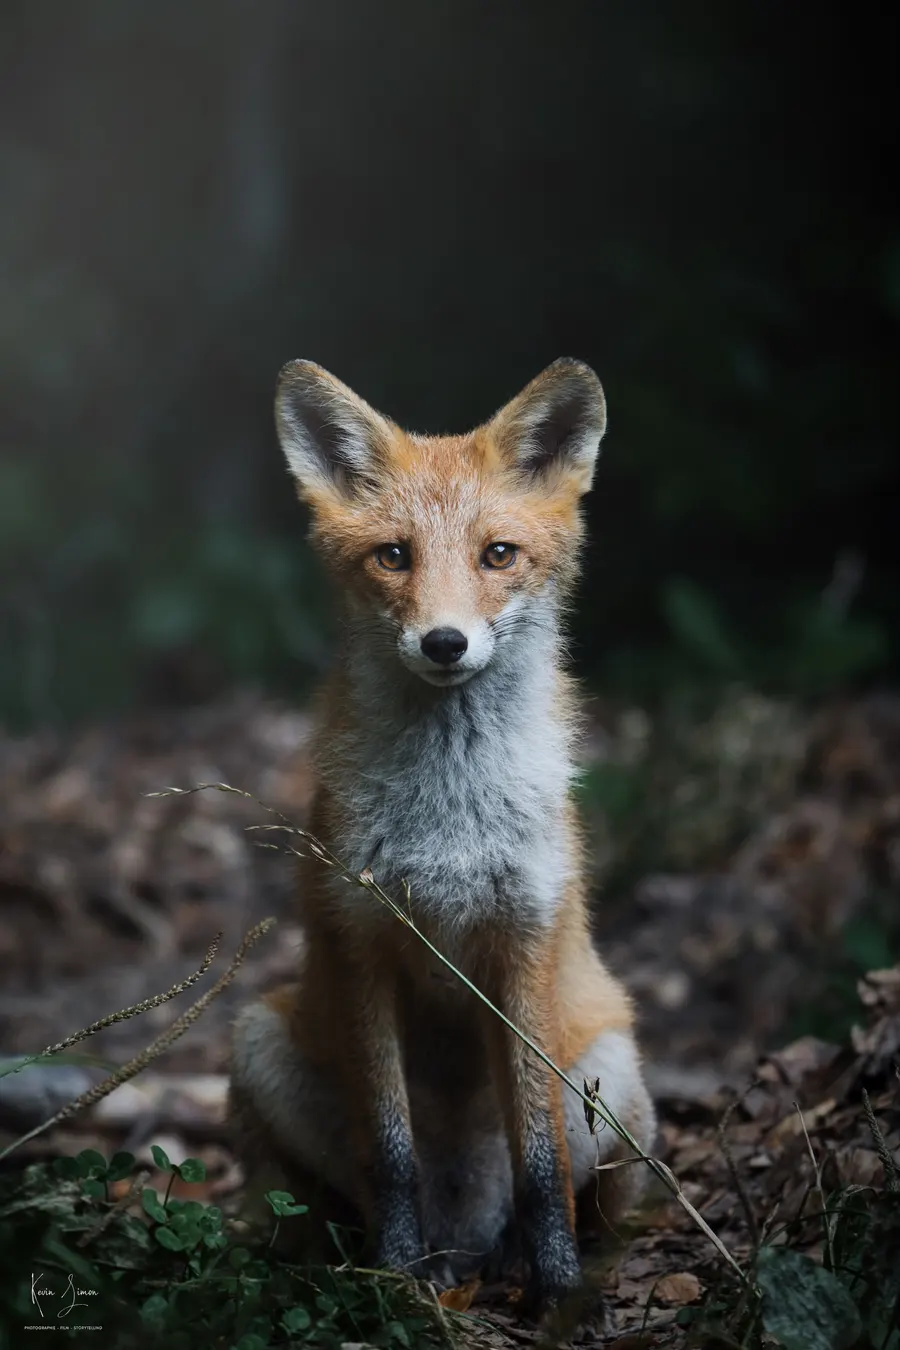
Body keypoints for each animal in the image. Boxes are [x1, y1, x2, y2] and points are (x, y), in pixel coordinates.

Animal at [229, 357, 656, 1311]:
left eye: (498, 554)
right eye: (395, 556)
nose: (445, 642)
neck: (450, 817)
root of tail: (464, 1229)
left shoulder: (521, 943)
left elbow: (540, 1161)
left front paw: (555, 1290)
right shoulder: (360, 942)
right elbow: (390, 1157)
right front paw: (391, 1282)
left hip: (616, 1077)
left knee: (586, 1198)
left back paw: (526, 1262)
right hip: (259, 1043)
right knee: (332, 1197)